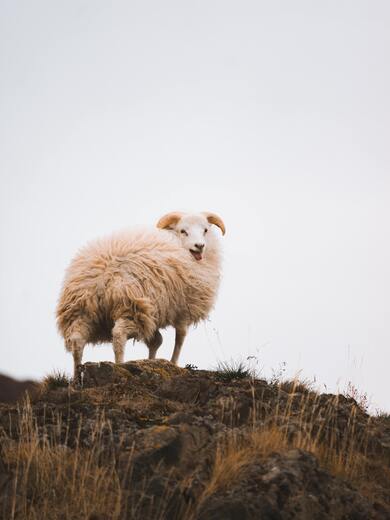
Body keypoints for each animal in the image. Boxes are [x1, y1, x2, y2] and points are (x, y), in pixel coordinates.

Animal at [55, 211, 225, 378]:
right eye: (183, 231)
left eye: (205, 230)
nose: (200, 246)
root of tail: (104, 276)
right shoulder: (183, 309)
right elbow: (180, 338)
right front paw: (173, 362)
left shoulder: (154, 312)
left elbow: (156, 341)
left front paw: (152, 362)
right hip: (130, 306)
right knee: (118, 335)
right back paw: (119, 366)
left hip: (79, 311)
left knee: (77, 340)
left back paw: (77, 376)